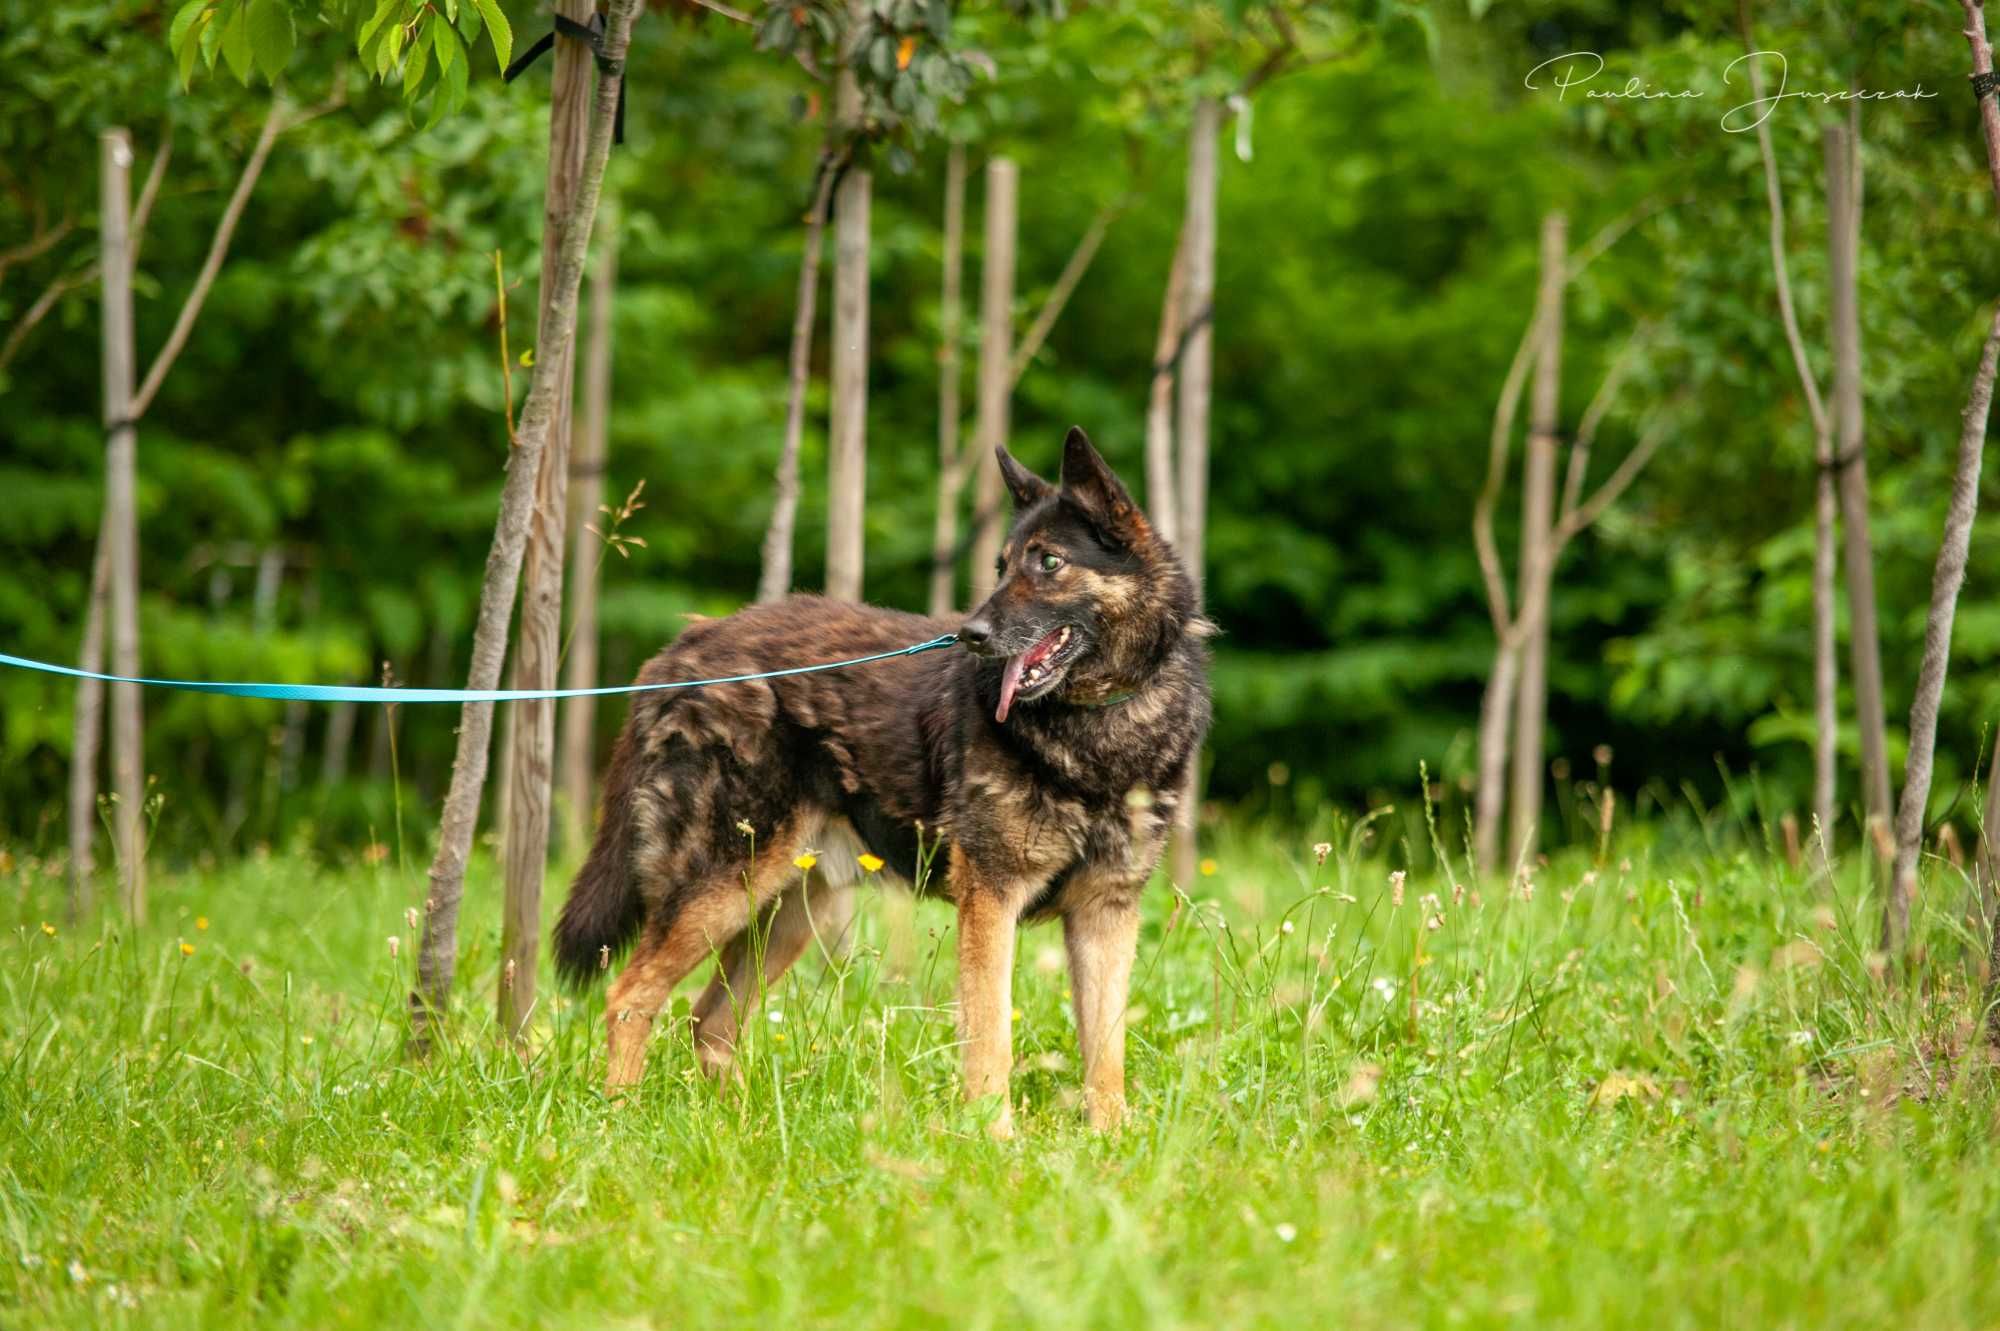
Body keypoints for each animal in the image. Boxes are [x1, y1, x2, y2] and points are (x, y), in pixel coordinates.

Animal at [548, 425, 1208, 1127]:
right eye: (1002, 567)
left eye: (1049, 563)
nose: (971, 634)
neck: (1100, 721)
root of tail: (680, 652)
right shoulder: (992, 897)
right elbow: (990, 1038)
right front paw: (993, 1136)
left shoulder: (1107, 912)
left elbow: (1105, 1054)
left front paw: (1109, 1138)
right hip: (722, 890)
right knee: (631, 996)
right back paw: (619, 1115)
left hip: (788, 915)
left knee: (711, 1023)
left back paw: (738, 1129)